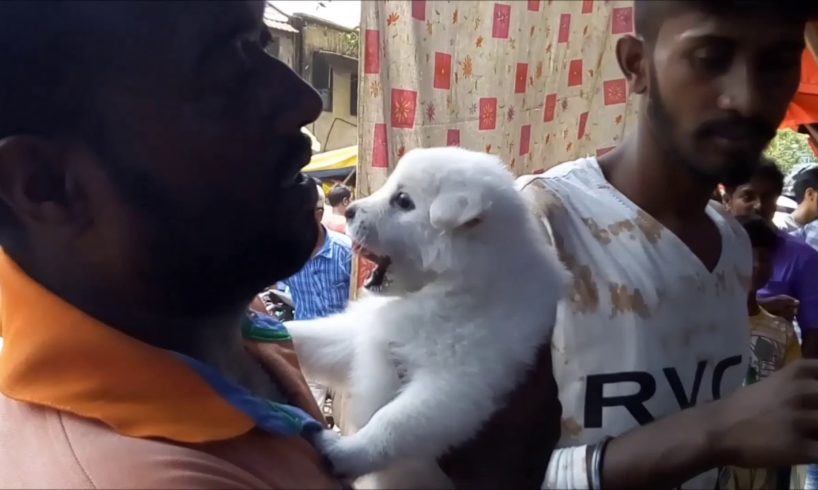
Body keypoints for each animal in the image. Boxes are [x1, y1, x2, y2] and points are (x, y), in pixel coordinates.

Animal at [284, 147, 564, 488]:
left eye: (403, 201)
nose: (349, 211)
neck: (445, 291)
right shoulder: (364, 339)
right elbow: (313, 338)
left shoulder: (456, 382)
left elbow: (393, 422)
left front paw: (344, 451)